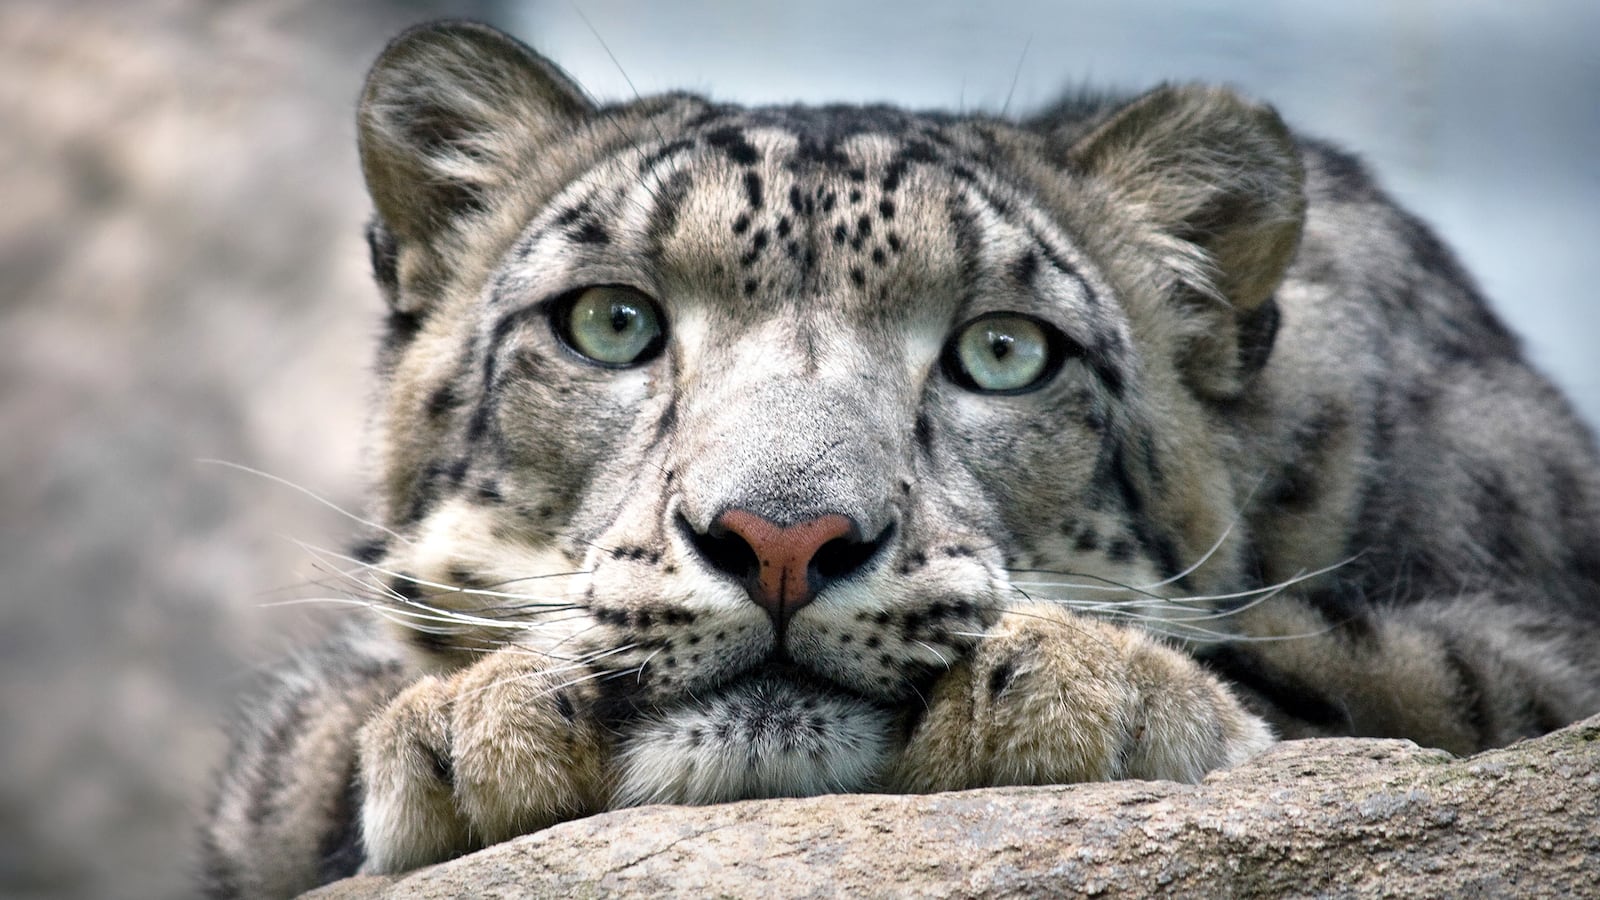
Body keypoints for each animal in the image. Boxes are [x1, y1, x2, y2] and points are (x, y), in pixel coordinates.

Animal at [200, 20, 1600, 898]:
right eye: (612, 323)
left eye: (1002, 351)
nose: (781, 538)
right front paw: (472, 726)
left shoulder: (1536, 662)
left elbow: (1370, 676)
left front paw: (1084, 688)